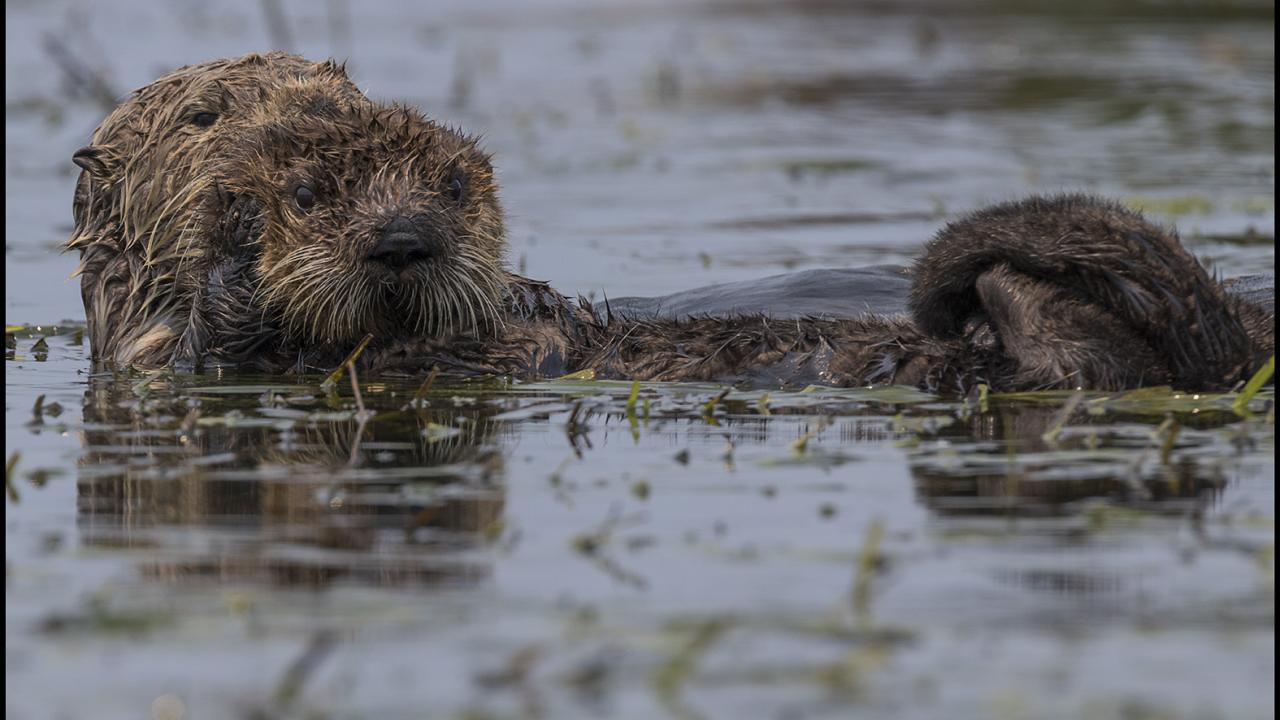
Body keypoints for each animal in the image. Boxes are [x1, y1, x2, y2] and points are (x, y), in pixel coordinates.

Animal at [66, 53, 1274, 393]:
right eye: (206, 114)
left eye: (338, 89)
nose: (403, 237)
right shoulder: (154, 355)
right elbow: (208, 347)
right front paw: (236, 257)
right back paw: (1004, 299)